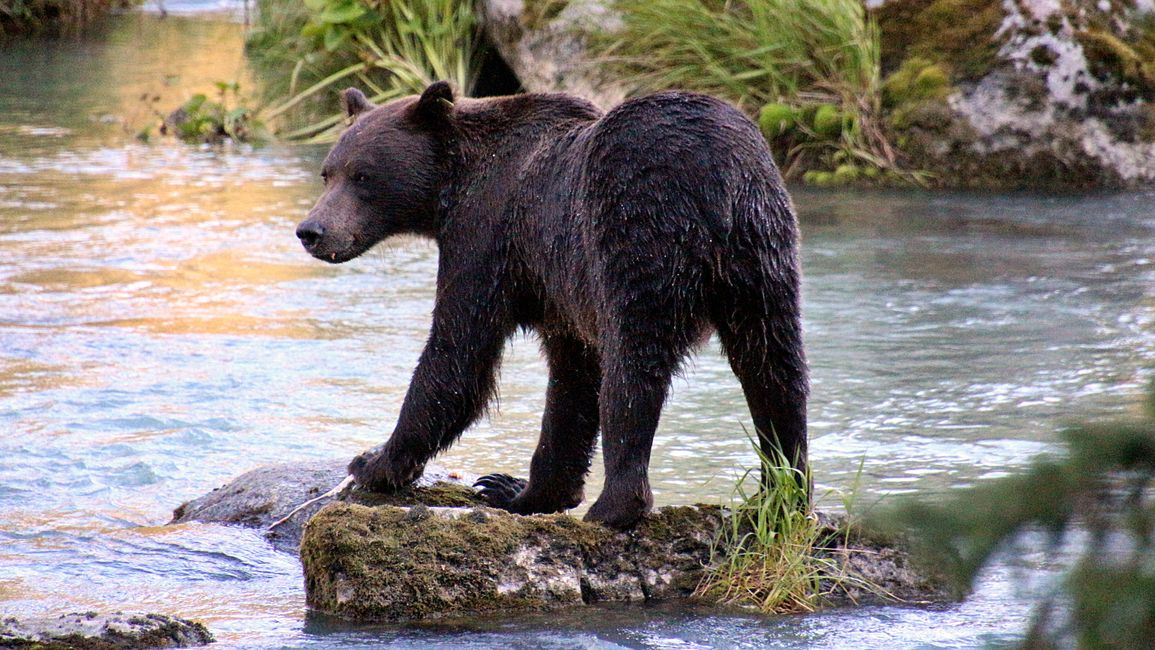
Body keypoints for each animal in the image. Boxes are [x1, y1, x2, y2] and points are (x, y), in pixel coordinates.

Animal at [293, 81, 808, 531]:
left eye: (363, 175)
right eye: (328, 171)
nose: (311, 230)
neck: (449, 190)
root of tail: (714, 172)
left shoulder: (486, 237)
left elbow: (457, 354)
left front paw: (373, 461)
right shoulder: (558, 292)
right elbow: (571, 383)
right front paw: (517, 488)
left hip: (636, 235)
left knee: (632, 370)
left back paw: (614, 507)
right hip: (763, 256)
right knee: (774, 369)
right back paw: (784, 492)